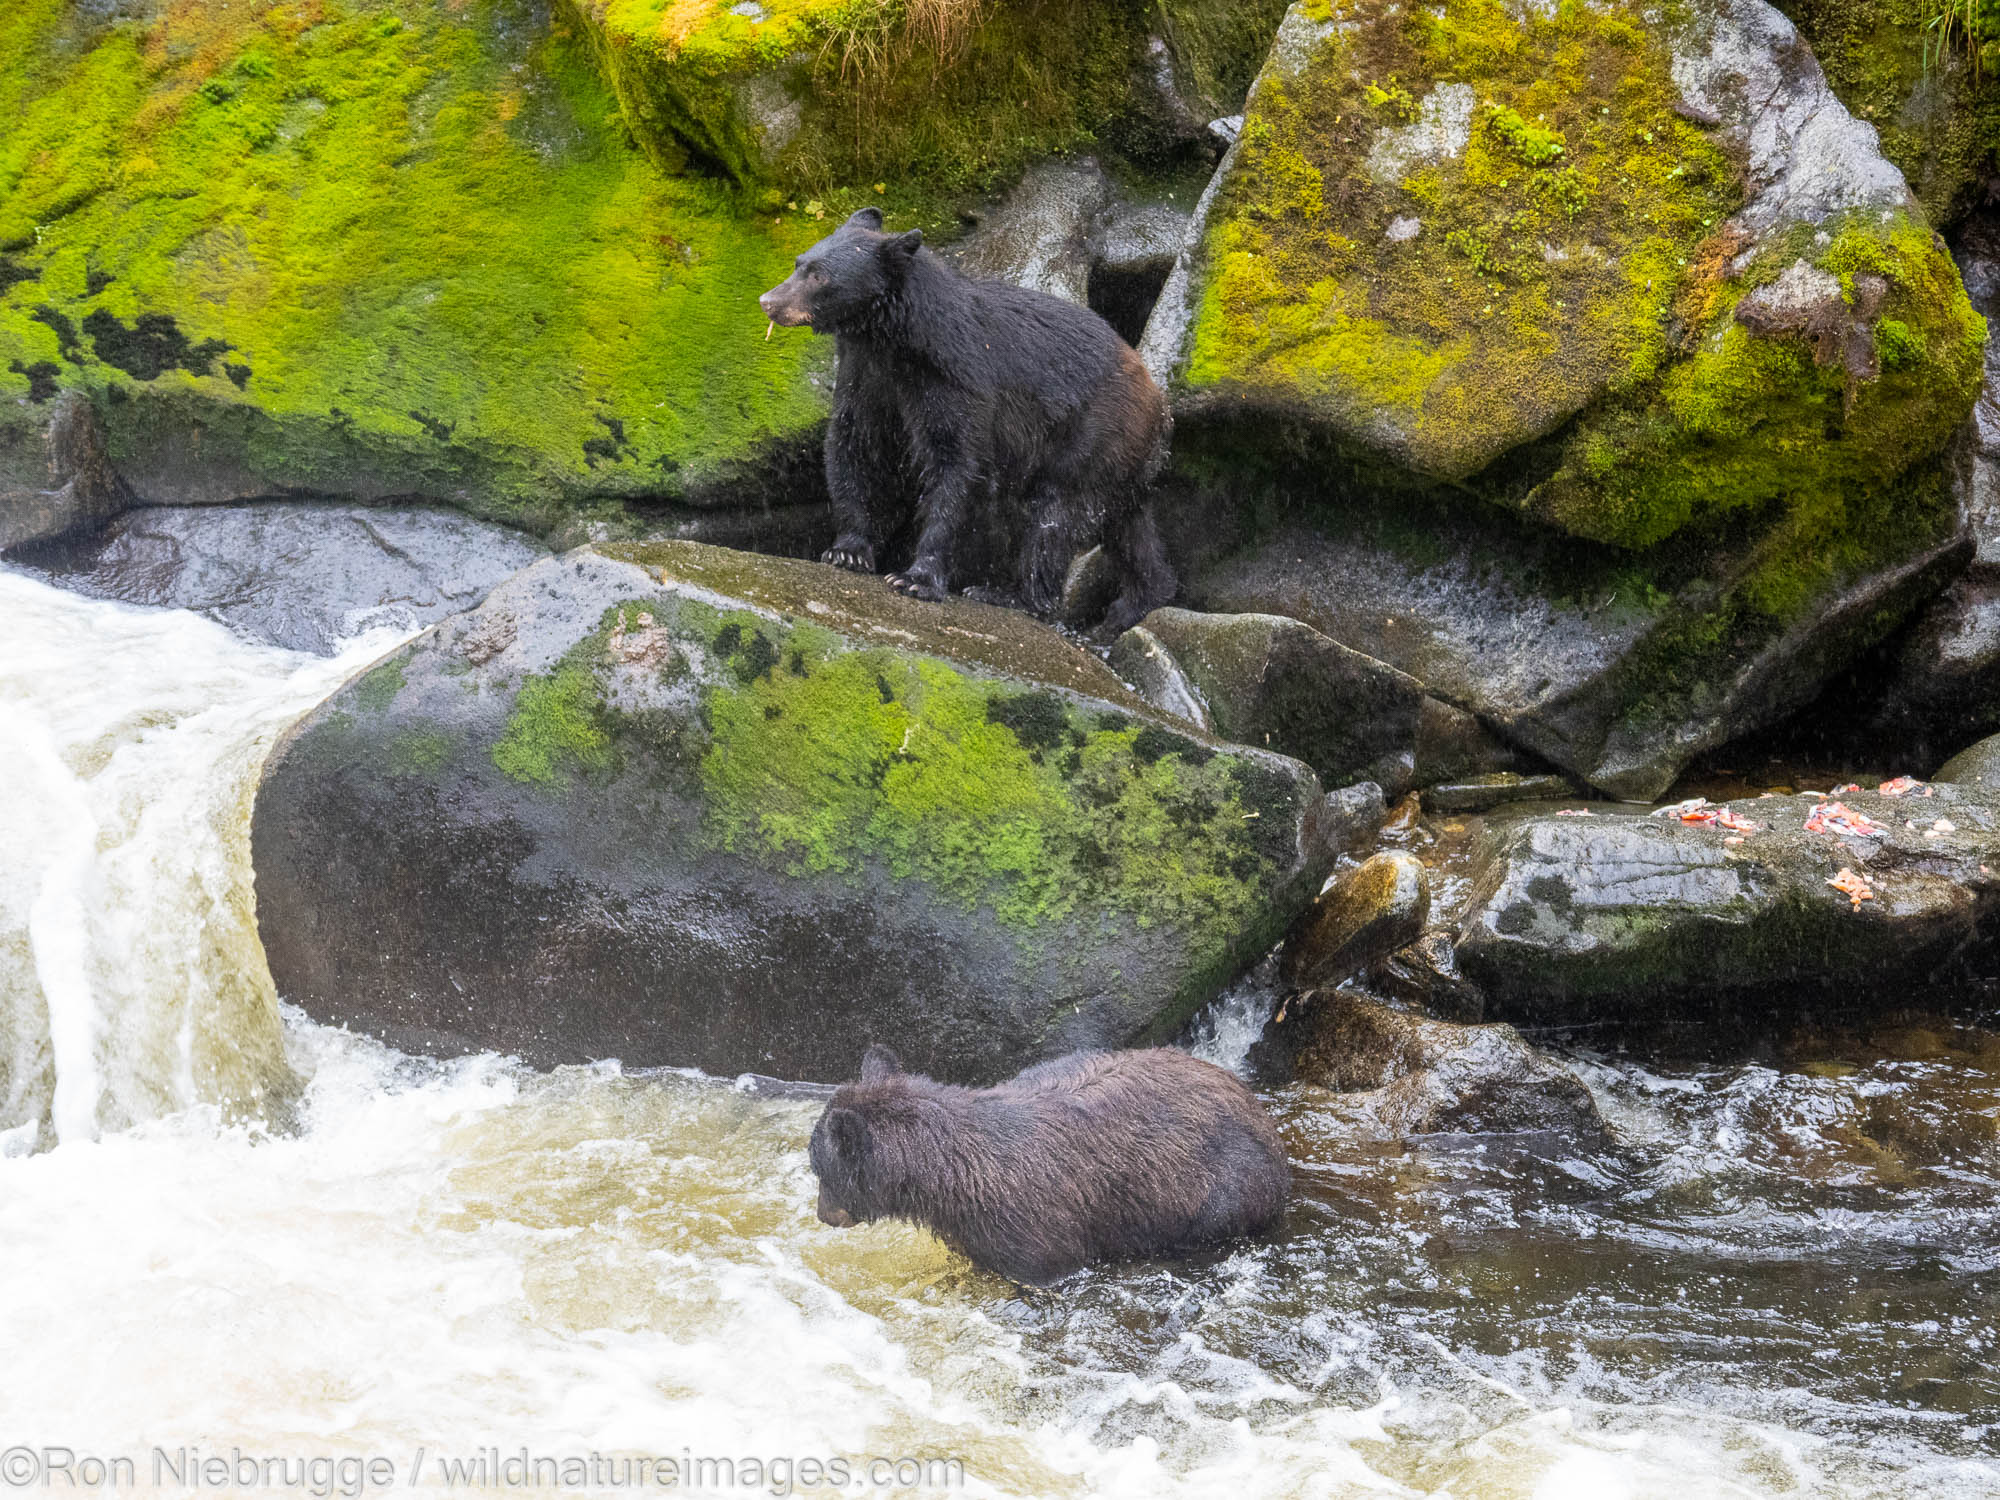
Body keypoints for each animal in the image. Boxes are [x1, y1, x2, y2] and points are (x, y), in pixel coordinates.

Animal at [760, 206, 1168, 628]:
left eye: (820, 276)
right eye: (799, 263)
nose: (767, 301)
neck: (895, 339)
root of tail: (1158, 402)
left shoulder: (956, 380)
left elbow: (956, 463)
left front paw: (915, 578)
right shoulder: (866, 373)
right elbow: (854, 442)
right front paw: (848, 550)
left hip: (1093, 434)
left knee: (1055, 517)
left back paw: (1010, 595)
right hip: (1120, 464)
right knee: (1129, 529)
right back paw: (1139, 600)